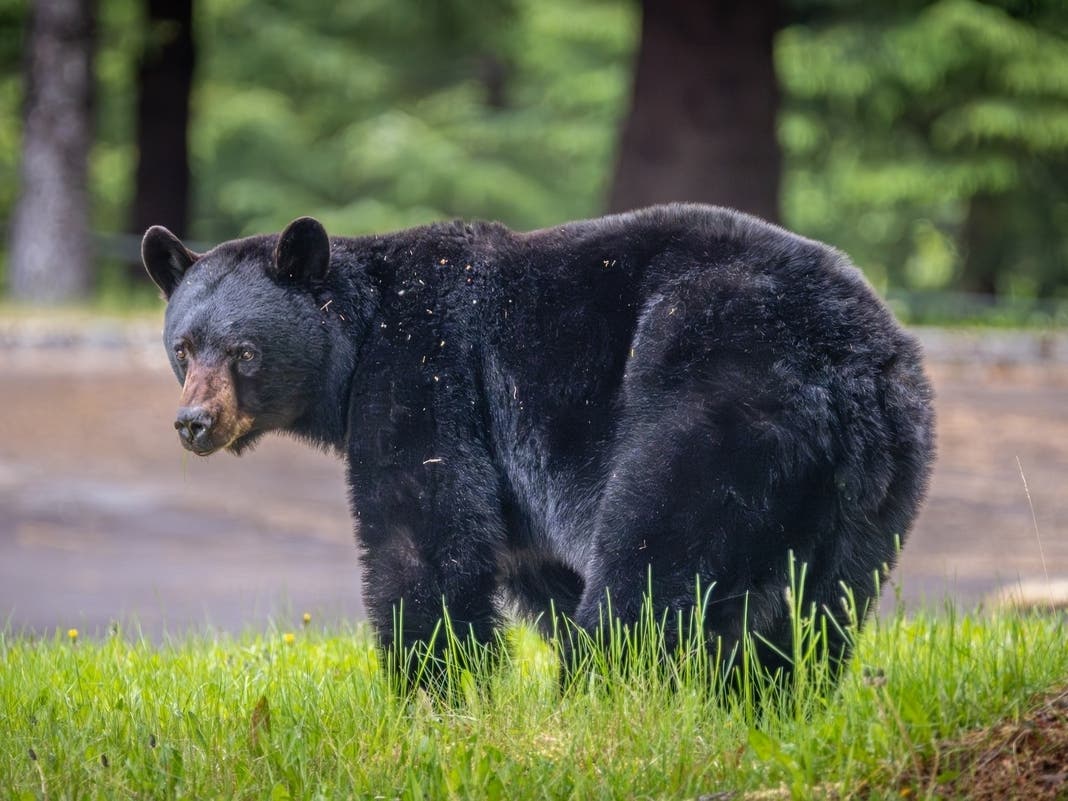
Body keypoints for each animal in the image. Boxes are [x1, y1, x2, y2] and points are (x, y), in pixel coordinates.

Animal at [142, 204, 935, 687]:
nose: (194, 423)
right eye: (183, 347)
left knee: (652, 563)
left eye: (244, 351)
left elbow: (422, 533)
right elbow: (531, 560)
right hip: (878, 485)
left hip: (716, 398)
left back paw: (593, 696)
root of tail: (851, 362)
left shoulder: (426, 371)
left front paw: (434, 690)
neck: (358, 338)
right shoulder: (515, 474)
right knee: (817, 610)